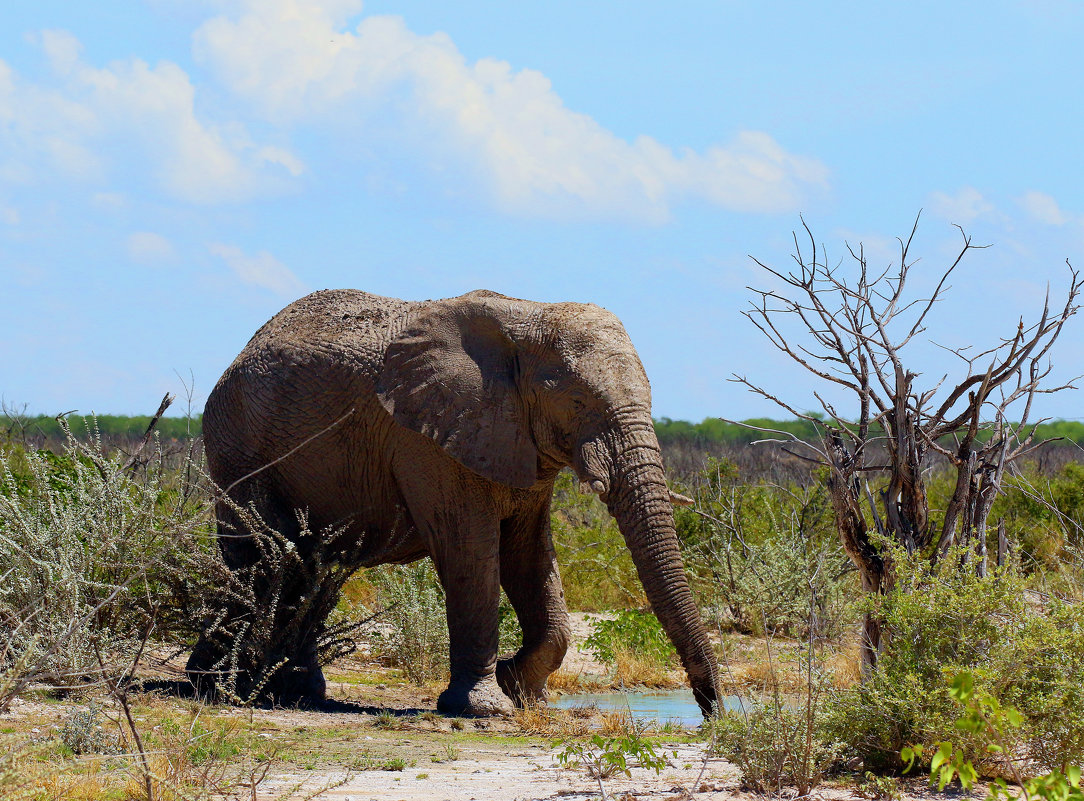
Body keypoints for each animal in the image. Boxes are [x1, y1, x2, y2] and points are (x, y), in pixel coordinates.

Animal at [188, 290, 719, 719]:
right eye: (575, 401)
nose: (713, 714)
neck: (527, 316)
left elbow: (529, 557)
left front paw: (520, 691)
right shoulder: (429, 439)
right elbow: (470, 551)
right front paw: (487, 708)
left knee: (301, 567)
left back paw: (287, 692)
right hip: (239, 448)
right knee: (260, 558)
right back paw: (220, 688)